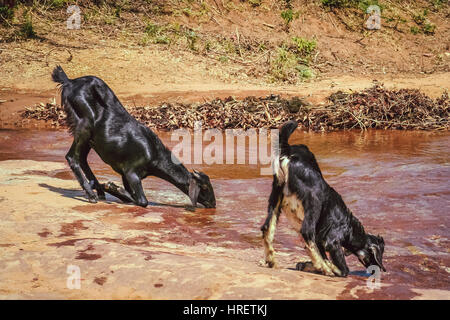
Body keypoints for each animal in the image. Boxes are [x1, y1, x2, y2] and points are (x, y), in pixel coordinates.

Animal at [51, 66, 216, 209]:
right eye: (205, 187)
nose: (213, 204)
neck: (154, 154)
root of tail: (69, 81)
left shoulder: (125, 174)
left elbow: (133, 196)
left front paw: (111, 188)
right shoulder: (131, 172)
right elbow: (143, 201)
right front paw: (112, 187)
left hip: (90, 138)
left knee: (83, 158)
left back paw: (98, 190)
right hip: (84, 123)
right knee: (72, 156)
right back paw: (92, 194)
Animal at [262, 121, 384, 276]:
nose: (378, 270)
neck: (350, 228)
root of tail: (288, 151)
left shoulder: (321, 241)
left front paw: (307, 265)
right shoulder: (332, 241)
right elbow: (344, 269)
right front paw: (328, 267)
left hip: (276, 195)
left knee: (267, 228)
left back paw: (271, 260)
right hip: (314, 200)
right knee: (307, 232)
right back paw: (324, 268)